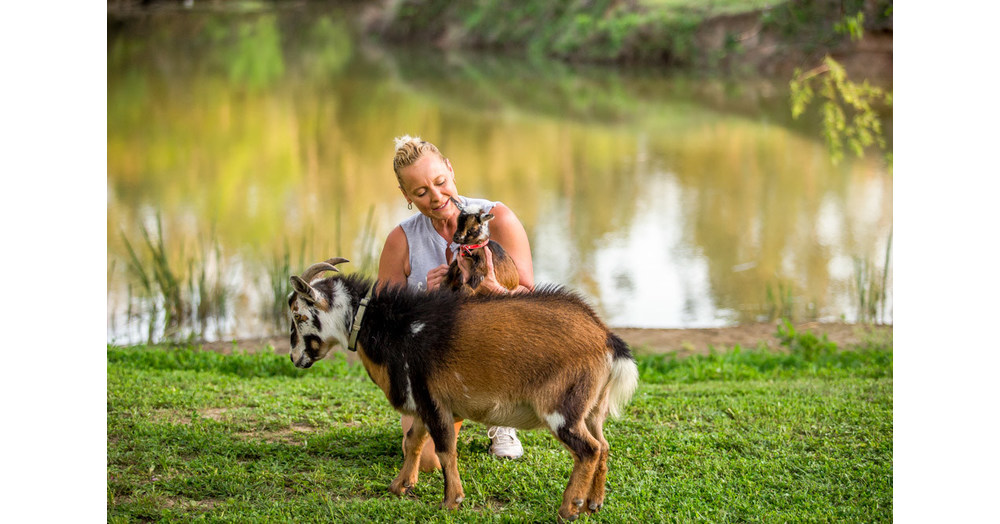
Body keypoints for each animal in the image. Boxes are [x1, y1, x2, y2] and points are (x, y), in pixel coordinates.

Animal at [288, 258, 639, 521]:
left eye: (299, 315)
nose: (294, 358)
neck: (396, 326)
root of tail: (605, 338)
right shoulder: (421, 400)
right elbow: (414, 441)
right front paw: (400, 486)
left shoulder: (432, 399)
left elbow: (445, 449)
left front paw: (450, 501)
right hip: (592, 408)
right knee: (603, 445)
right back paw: (594, 504)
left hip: (562, 408)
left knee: (587, 450)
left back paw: (569, 509)